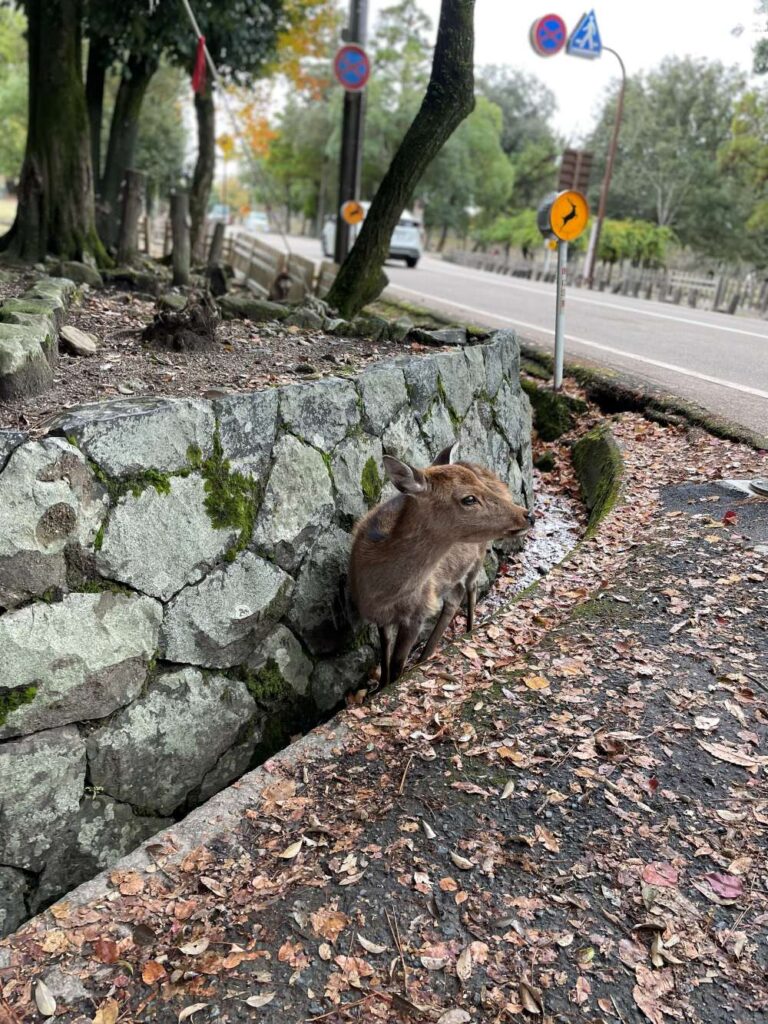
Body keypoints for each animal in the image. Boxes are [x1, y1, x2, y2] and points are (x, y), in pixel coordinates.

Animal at [349, 444, 534, 687]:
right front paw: (379, 687)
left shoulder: (419, 611)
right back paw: (426, 654)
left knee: (470, 588)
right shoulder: (379, 617)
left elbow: (397, 664)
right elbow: (385, 658)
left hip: (480, 552)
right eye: (469, 499)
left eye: (479, 488)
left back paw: (467, 630)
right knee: (455, 596)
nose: (528, 515)